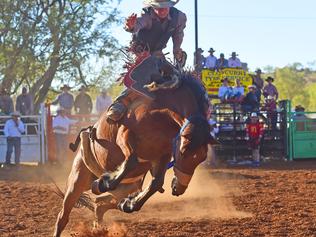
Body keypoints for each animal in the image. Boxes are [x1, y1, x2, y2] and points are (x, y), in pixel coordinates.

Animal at [53, 55, 216, 237]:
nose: (179, 188)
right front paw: (105, 182)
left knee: (100, 204)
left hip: (127, 187)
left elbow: (156, 183)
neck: (161, 115)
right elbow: (131, 160)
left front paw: (129, 204)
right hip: (77, 181)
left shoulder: (163, 155)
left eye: (201, 158)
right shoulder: (125, 134)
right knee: (63, 216)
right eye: (184, 151)